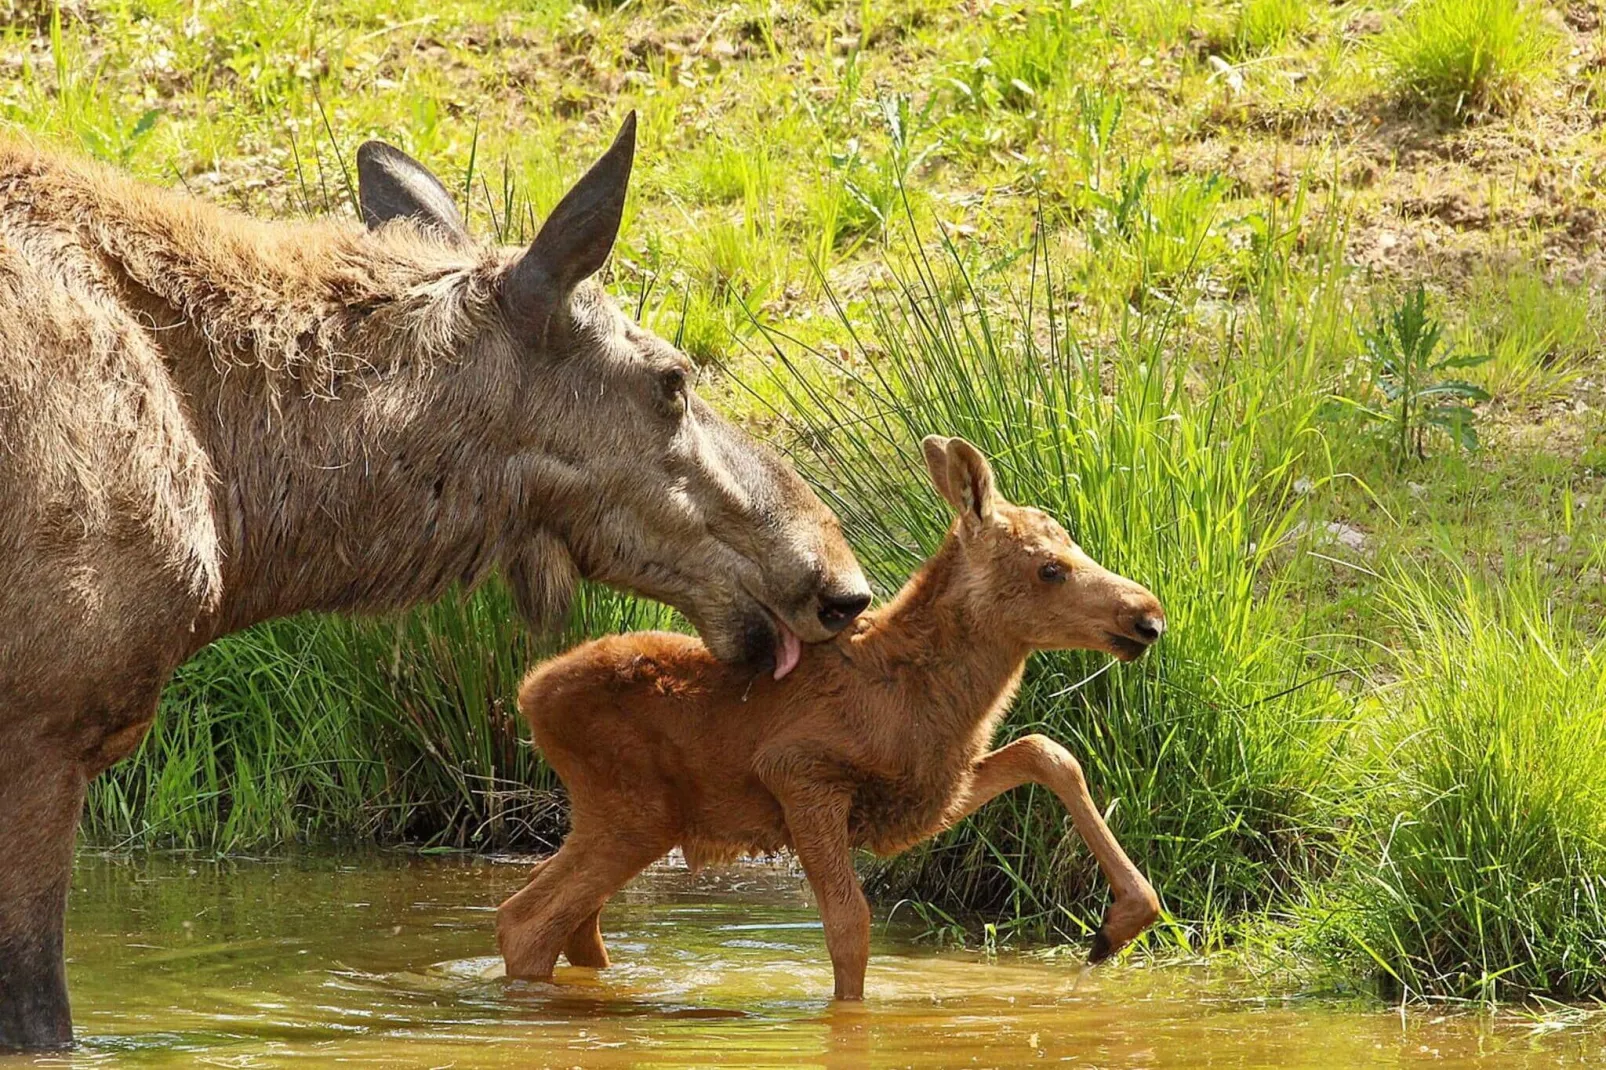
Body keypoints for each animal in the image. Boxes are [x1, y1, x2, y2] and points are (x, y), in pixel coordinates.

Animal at [501, 430, 1169, 989]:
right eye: (1050, 568)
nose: (1148, 616)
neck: (924, 696)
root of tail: (528, 694)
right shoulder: (800, 773)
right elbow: (850, 926)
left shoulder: (925, 796)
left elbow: (1047, 751)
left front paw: (1121, 923)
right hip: (633, 812)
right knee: (524, 920)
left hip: (618, 817)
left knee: (562, 916)